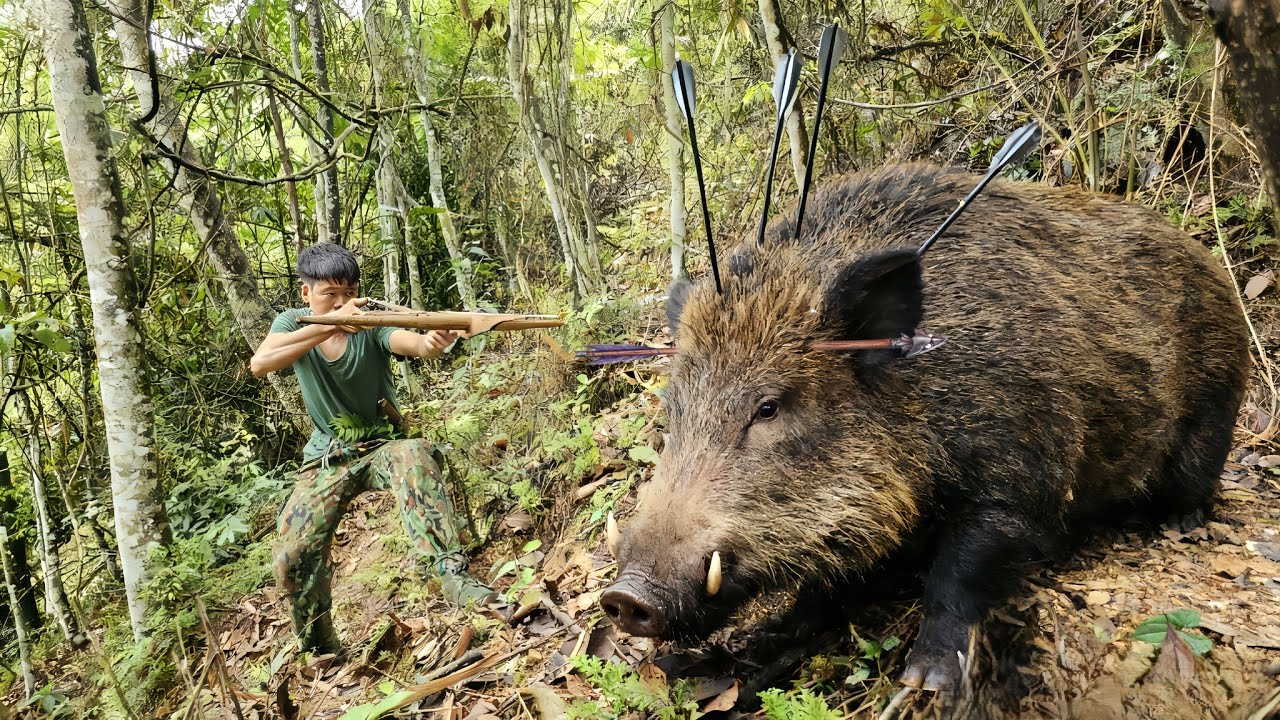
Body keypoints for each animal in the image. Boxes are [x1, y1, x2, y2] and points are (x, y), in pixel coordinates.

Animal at [599, 162, 1250, 691]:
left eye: (768, 409)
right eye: (674, 411)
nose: (625, 596)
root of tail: (1208, 257)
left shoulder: (1020, 477)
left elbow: (960, 572)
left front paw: (925, 682)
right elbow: (814, 600)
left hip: (1215, 406)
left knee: (1199, 475)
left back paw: (1183, 525)